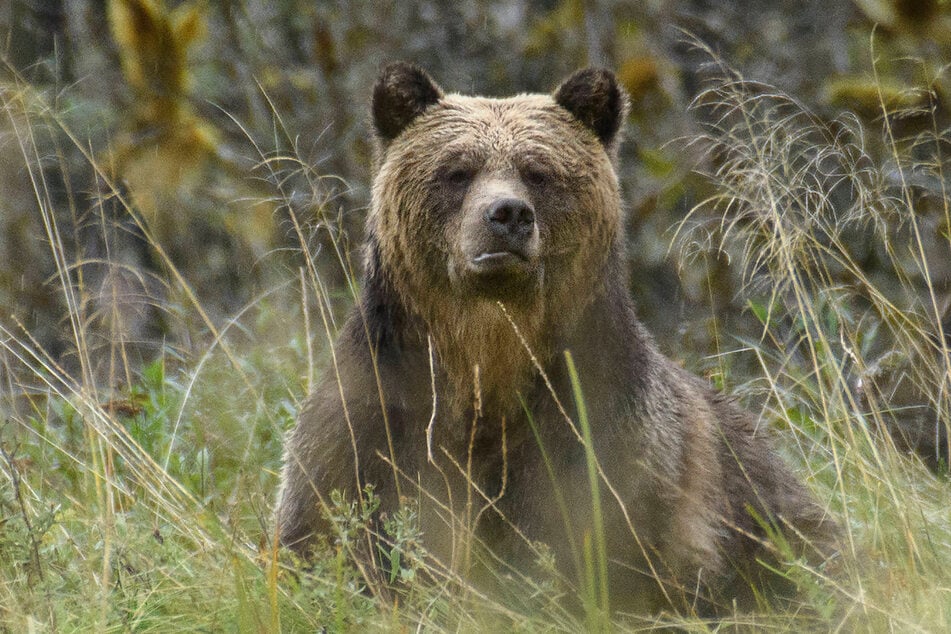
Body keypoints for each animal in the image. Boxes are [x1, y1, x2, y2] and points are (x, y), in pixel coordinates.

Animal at [275, 62, 836, 615]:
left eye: (538, 171)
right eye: (457, 170)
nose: (507, 214)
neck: (485, 358)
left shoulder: (606, 430)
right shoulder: (376, 418)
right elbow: (333, 526)